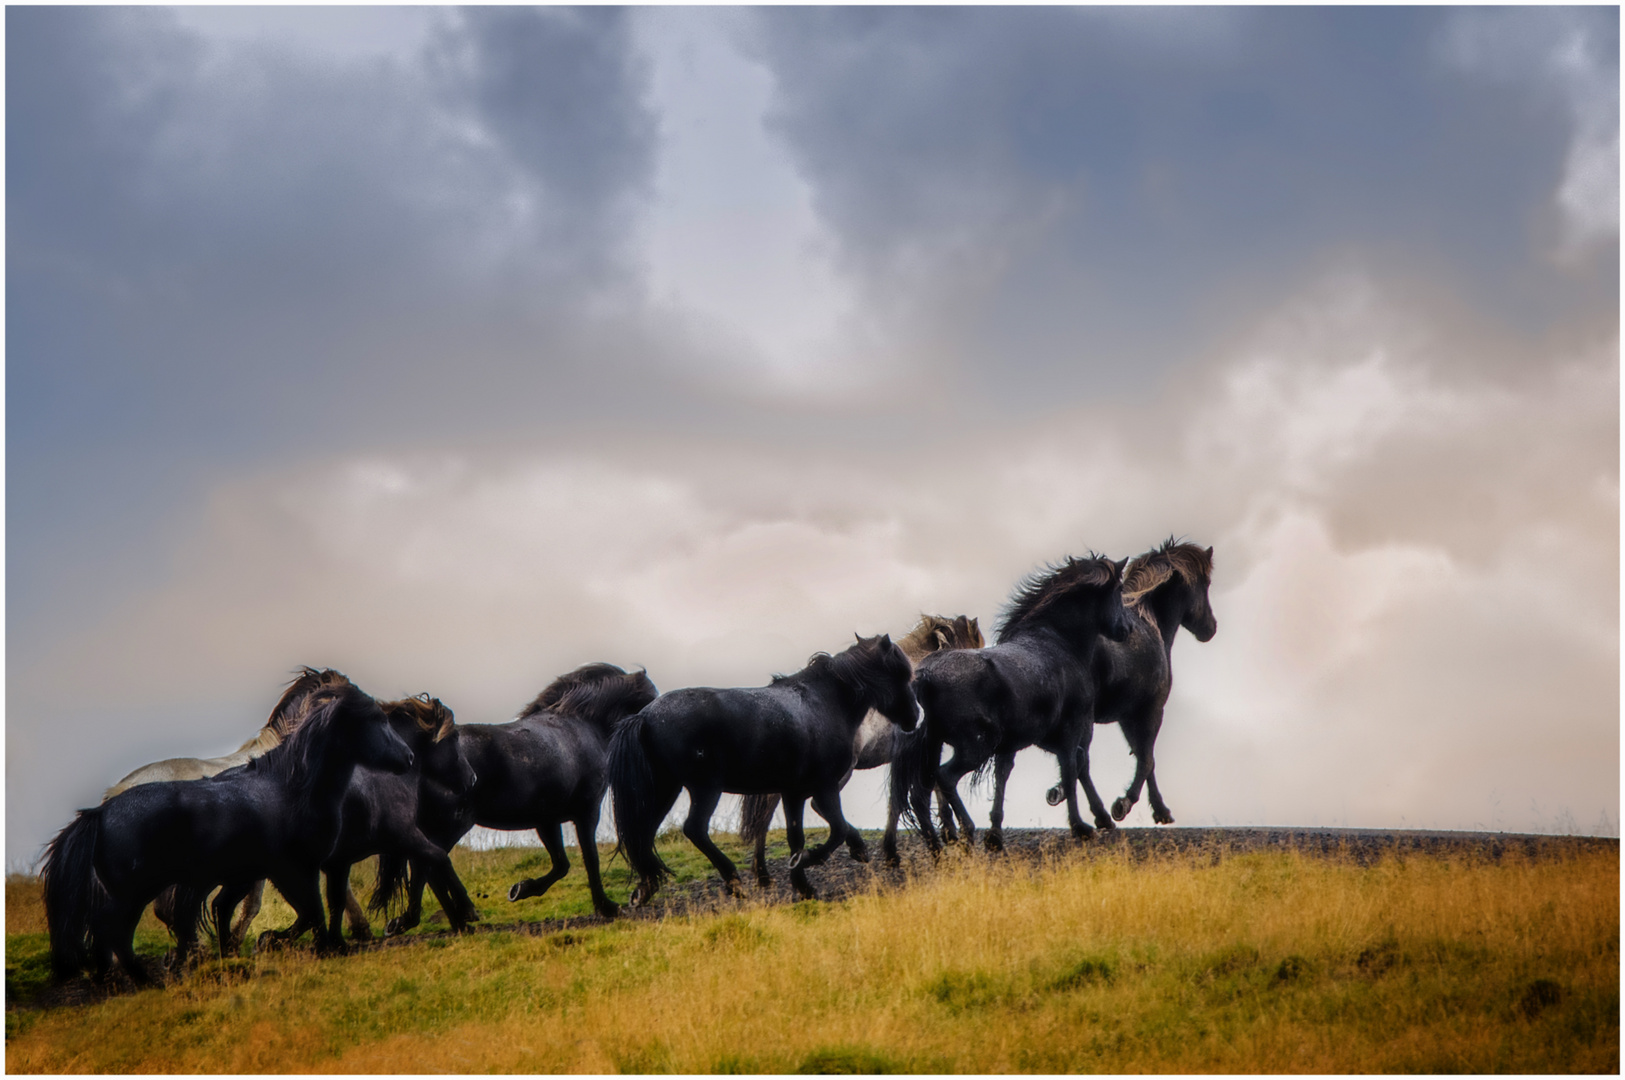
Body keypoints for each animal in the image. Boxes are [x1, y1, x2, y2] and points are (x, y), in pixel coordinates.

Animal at [373, 662, 659, 922]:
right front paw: (606, 906)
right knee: (429, 865)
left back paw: (442, 920)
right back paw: (450, 916)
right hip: (452, 825)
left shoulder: (547, 820)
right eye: (652, 696)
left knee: (426, 867)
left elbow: (562, 864)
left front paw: (522, 889)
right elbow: (590, 859)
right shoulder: (586, 812)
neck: (580, 724)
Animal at [611, 633, 923, 902]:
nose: (916, 717)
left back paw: (646, 887)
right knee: (694, 829)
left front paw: (804, 885)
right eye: (901, 674)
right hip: (704, 788)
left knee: (644, 834)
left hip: (666, 789)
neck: (823, 703)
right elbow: (836, 829)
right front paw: (811, 860)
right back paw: (733, 882)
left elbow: (797, 836)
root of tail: (644, 716)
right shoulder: (825, 787)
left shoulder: (794, 793)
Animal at [734, 613, 975, 883]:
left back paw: (764, 870)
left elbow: (897, 799)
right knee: (803, 808)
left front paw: (894, 850)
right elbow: (916, 793)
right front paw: (945, 833)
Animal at [890, 552, 1131, 857]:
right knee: (944, 778)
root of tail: (925, 674)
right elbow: (1071, 769)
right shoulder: (1071, 728)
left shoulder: (1012, 744)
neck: (1057, 643)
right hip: (975, 746)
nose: (1127, 629)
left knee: (921, 792)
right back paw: (966, 831)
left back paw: (937, 848)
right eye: (1119, 590)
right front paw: (1081, 826)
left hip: (933, 745)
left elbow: (1003, 778)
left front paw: (995, 835)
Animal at [1040, 539, 1222, 825]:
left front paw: (1159, 810)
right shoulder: (1150, 711)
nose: (1210, 628)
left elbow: (1143, 757)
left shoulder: (1127, 716)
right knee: (1082, 763)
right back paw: (1102, 816)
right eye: (1206, 584)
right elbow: (1146, 759)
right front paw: (1126, 804)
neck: (1150, 620)